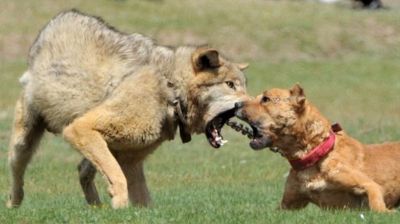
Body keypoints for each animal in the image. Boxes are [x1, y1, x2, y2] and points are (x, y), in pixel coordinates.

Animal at [234, 84, 400, 212]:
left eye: (266, 99)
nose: (235, 105)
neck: (316, 154)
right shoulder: (288, 205)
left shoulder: (370, 186)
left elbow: (377, 205)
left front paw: (388, 213)